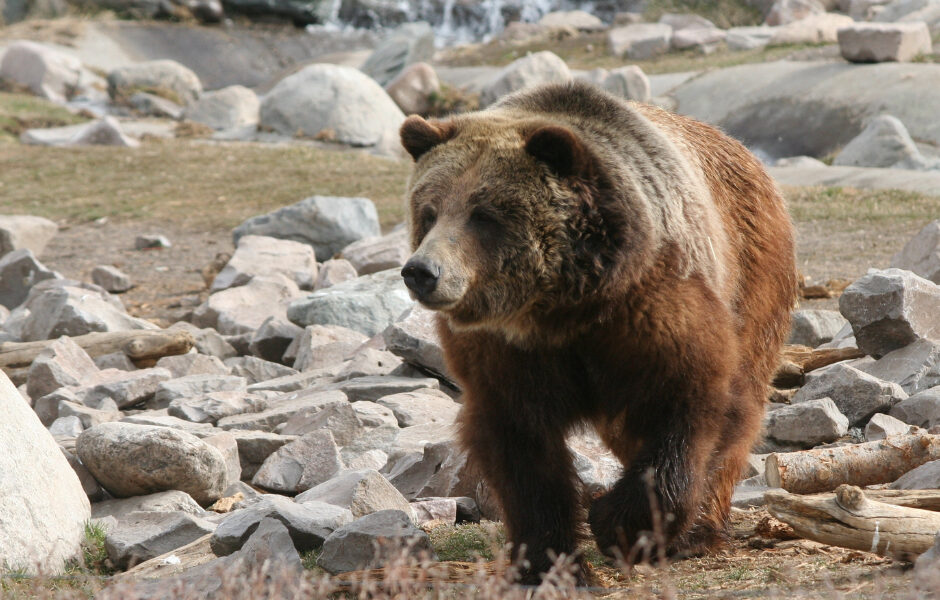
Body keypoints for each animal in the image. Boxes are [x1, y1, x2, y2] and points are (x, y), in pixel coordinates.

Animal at [398, 81, 797, 584]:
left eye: (483, 214)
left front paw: (620, 525)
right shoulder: (505, 354)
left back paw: (699, 530)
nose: (421, 271)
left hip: (751, 271)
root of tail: (744, 152)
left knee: (740, 404)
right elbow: (521, 448)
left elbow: (690, 405)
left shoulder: (653, 310)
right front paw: (551, 561)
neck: (563, 309)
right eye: (429, 212)